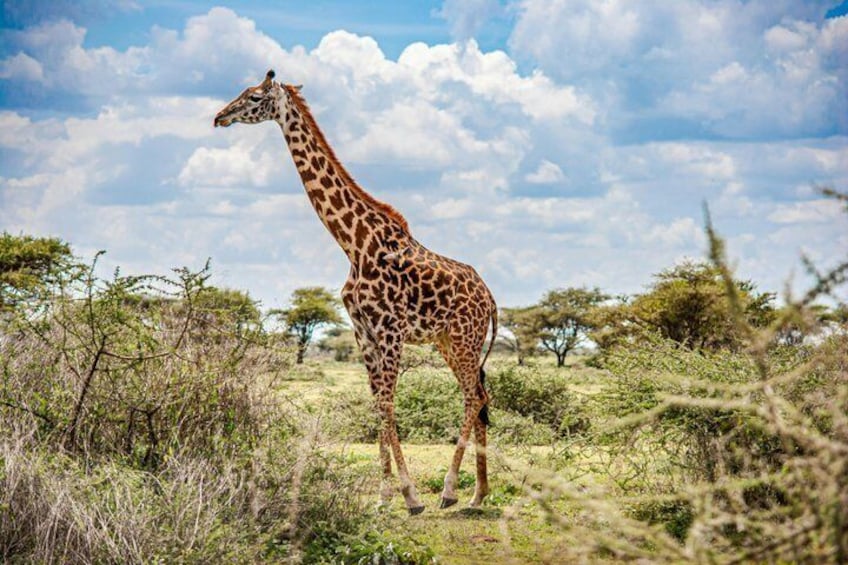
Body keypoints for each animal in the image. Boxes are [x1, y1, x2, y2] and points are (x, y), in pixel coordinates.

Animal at [214, 70, 498, 514]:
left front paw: (411, 495)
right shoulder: (362, 331)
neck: (354, 244)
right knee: (481, 395)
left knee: (473, 397)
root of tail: (490, 297)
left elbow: (388, 402)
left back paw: (451, 490)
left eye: (255, 97)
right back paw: (478, 493)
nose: (219, 117)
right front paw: (384, 495)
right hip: (448, 341)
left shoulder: (390, 330)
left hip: (465, 337)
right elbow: (377, 402)